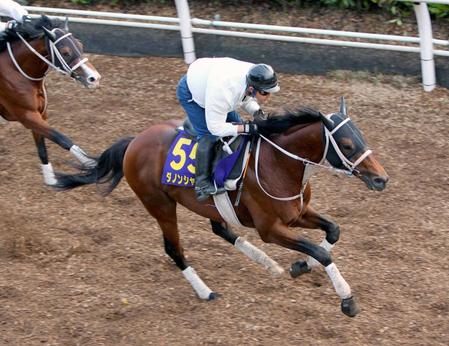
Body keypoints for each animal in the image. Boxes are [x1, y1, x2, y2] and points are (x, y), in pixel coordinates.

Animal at [0, 14, 100, 185]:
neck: (16, 71)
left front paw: (50, 180)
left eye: (80, 44)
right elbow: (62, 138)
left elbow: (42, 147)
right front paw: (91, 163)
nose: (94, 78)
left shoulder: (39, 114)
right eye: (65, 52)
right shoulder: (26, 115)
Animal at [54, 98, 386, 318]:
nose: (381, 178)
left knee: (220, 228)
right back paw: (205, 291)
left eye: (361, 137)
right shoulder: (270, 229)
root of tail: (134, 141)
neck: (278, 163)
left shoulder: (298, 214)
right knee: (174, 248)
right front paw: (346, 299)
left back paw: (269, 264)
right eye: (346, 144)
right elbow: (322, 251)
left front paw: (300, 266)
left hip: (206, 206)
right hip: (159, 204)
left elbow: (333, 231)